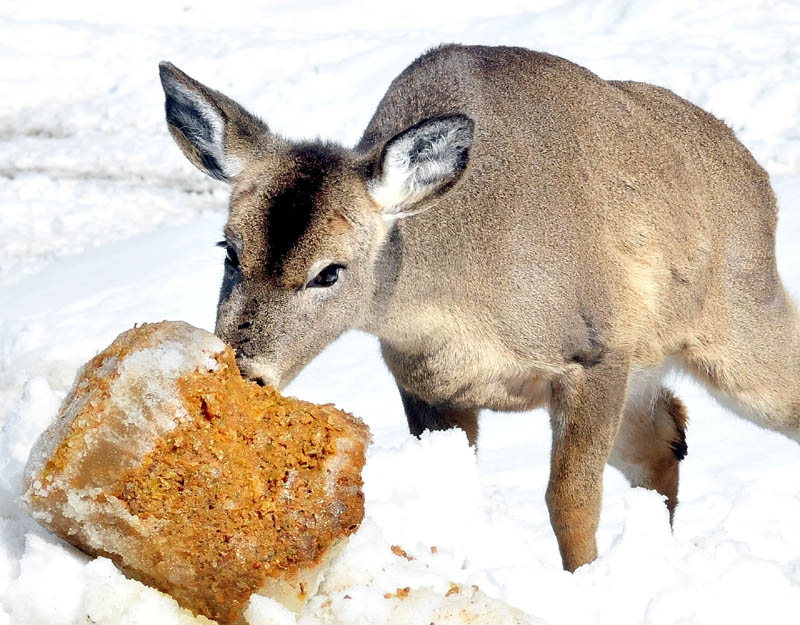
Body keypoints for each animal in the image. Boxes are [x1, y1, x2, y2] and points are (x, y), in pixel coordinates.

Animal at [158, 44, 800, 572]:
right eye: (229, 248)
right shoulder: (427, 383)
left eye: (330, 272)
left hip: (740, 319)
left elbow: (570, 502)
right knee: (668, 434)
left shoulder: (594, 353)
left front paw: (582, 585)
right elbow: (447, 488)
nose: (243, 368)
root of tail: (755, 173)